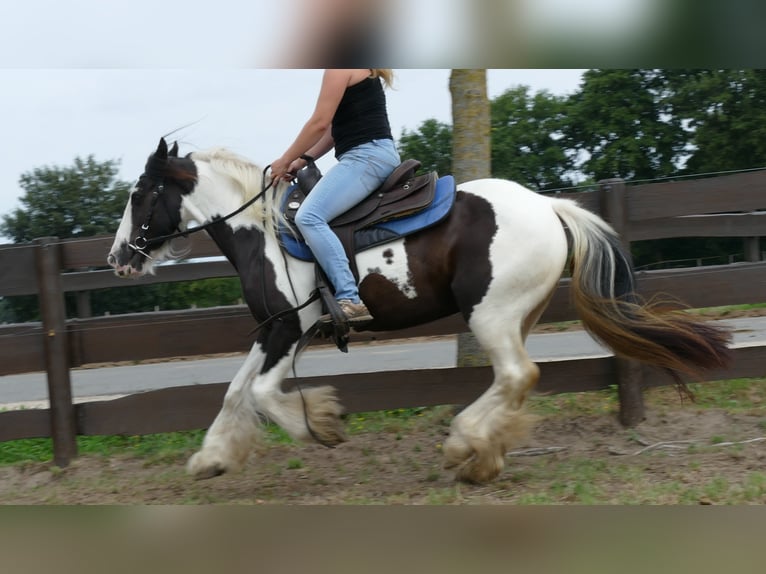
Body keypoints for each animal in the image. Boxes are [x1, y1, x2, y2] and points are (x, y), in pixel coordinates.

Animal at [106, 140, 732, 486]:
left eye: (139, 195)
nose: (117, 258)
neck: (264, 233)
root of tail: (549, 207)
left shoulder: (291, 329)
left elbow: (259, 393)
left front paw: (323, 425)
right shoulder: (273, 333)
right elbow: (235, 392)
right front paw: (211, 459)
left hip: (490, 316)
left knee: (517, 375)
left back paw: (464, 446)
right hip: (514, 315)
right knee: (519, 379)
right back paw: (482, 455)